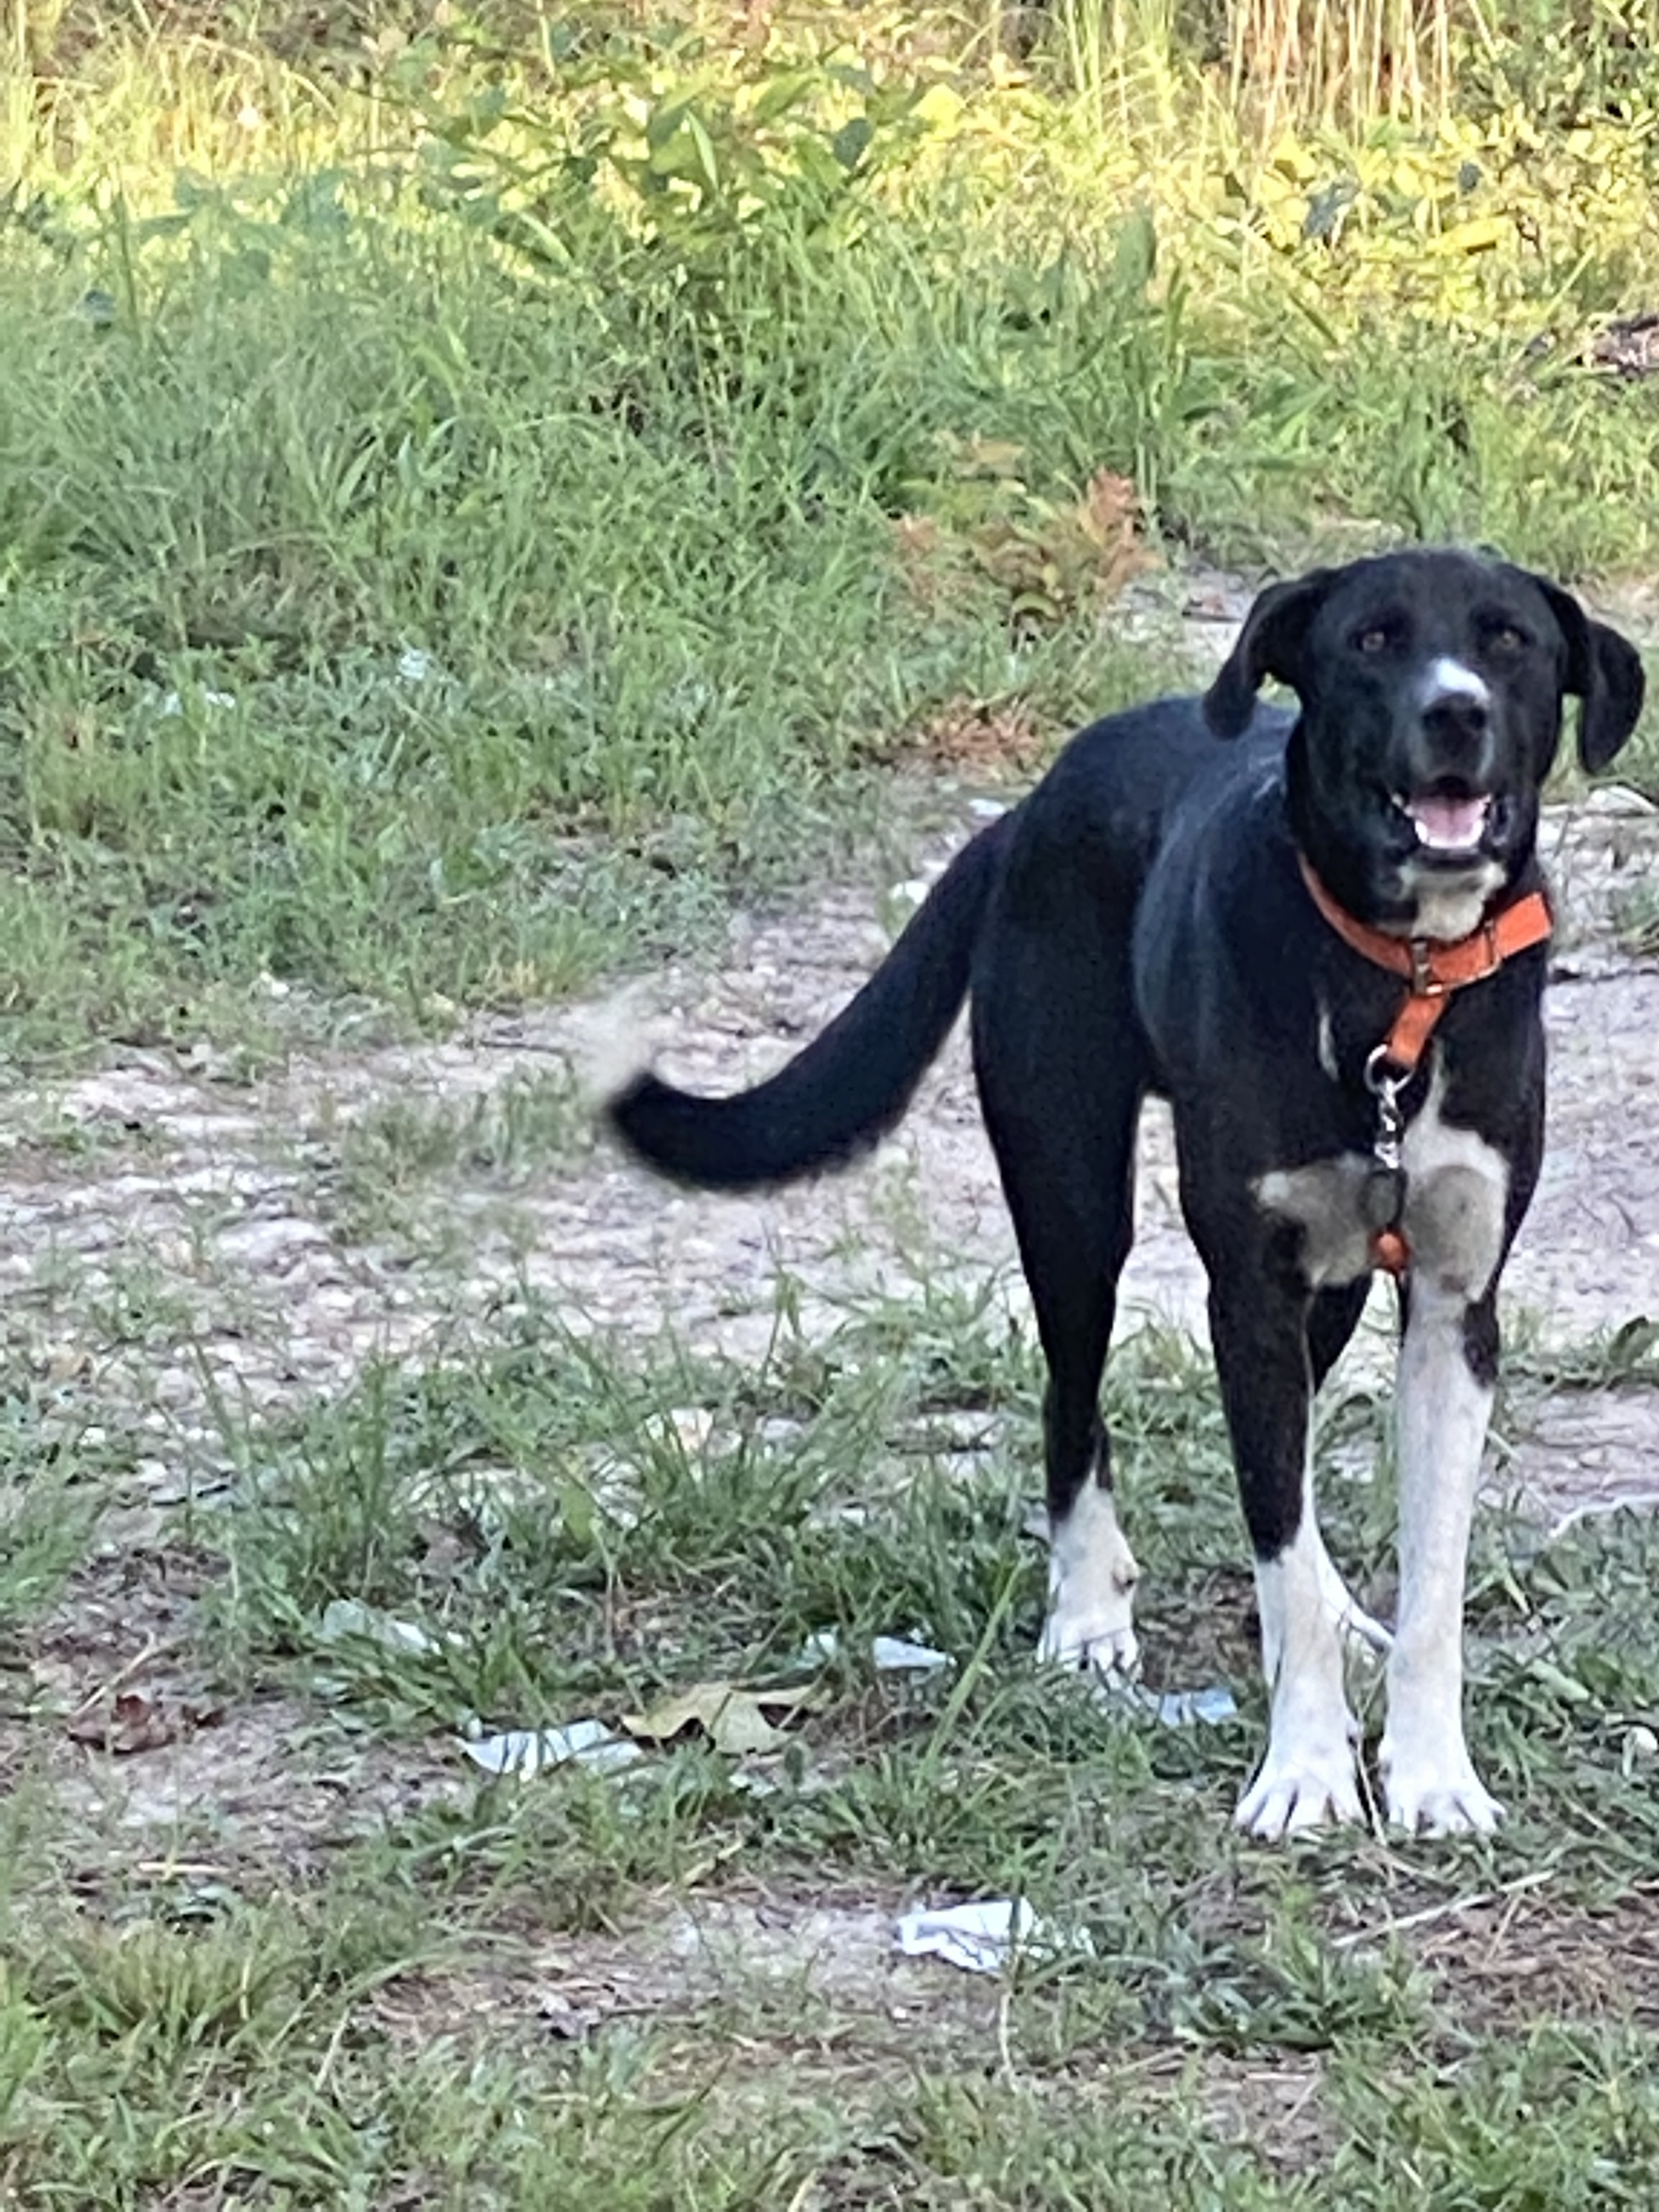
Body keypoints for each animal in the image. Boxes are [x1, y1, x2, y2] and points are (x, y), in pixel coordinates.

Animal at [614, 548, 1654, 1831]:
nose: (1453, 712)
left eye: (1507, 641)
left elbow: (1425, 1581)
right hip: (1071, 1201)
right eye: (1372, 641)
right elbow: (1273, 1542)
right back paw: (1085, 1617)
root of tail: (1031, 806)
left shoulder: (1455, 1301)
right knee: (1077, 1405)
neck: (1395, 979)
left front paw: (1431, 1776)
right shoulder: (1244, 1293)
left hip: (1329, 1289)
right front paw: (1304, 1773)